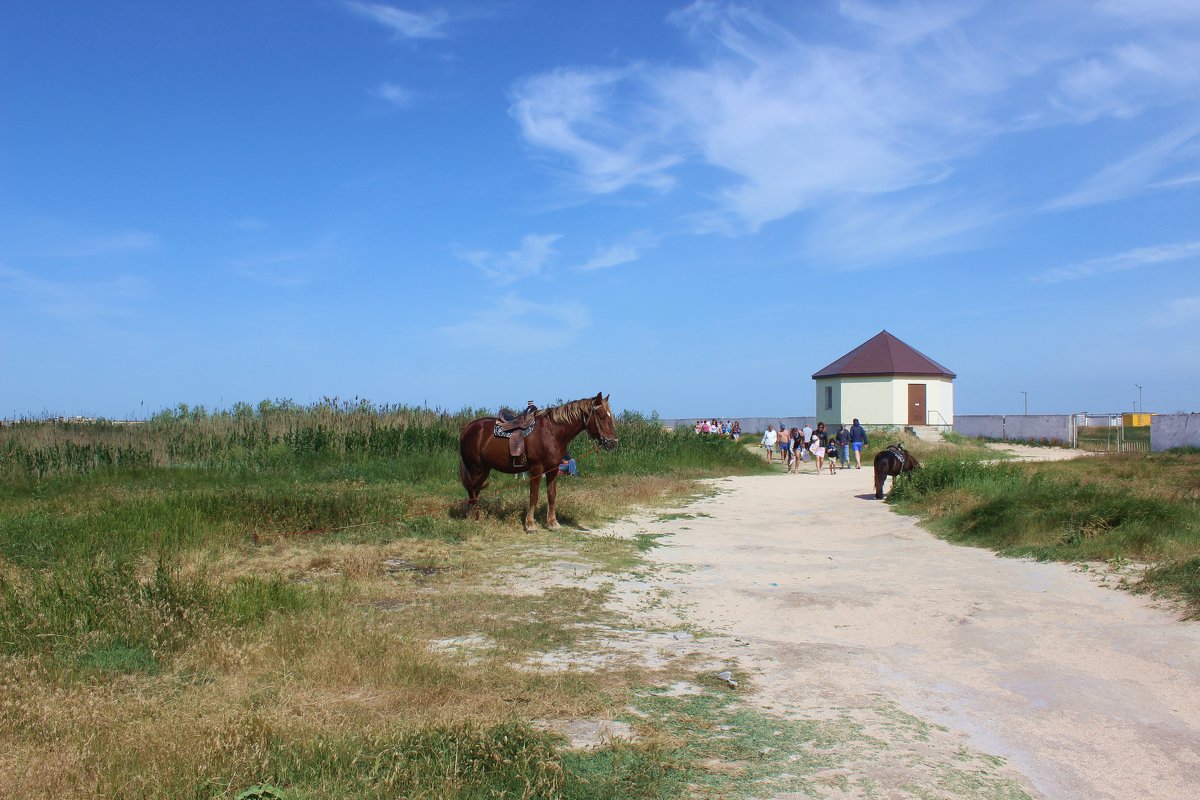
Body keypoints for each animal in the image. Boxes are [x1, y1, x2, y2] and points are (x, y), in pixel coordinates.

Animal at [453, 393, 614, 532]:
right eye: (601, 416)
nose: (612, 443)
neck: (551, 432)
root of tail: (467, 429)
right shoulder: (536, 469)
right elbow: (534, 496)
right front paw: (530, 524)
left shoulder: (553, 469)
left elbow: (552, 495)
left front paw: (553, 523)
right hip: (476, 468)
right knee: (472, 491)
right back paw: (475, 519)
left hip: (484, 470)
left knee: (474, 491)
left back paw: (472, 516)